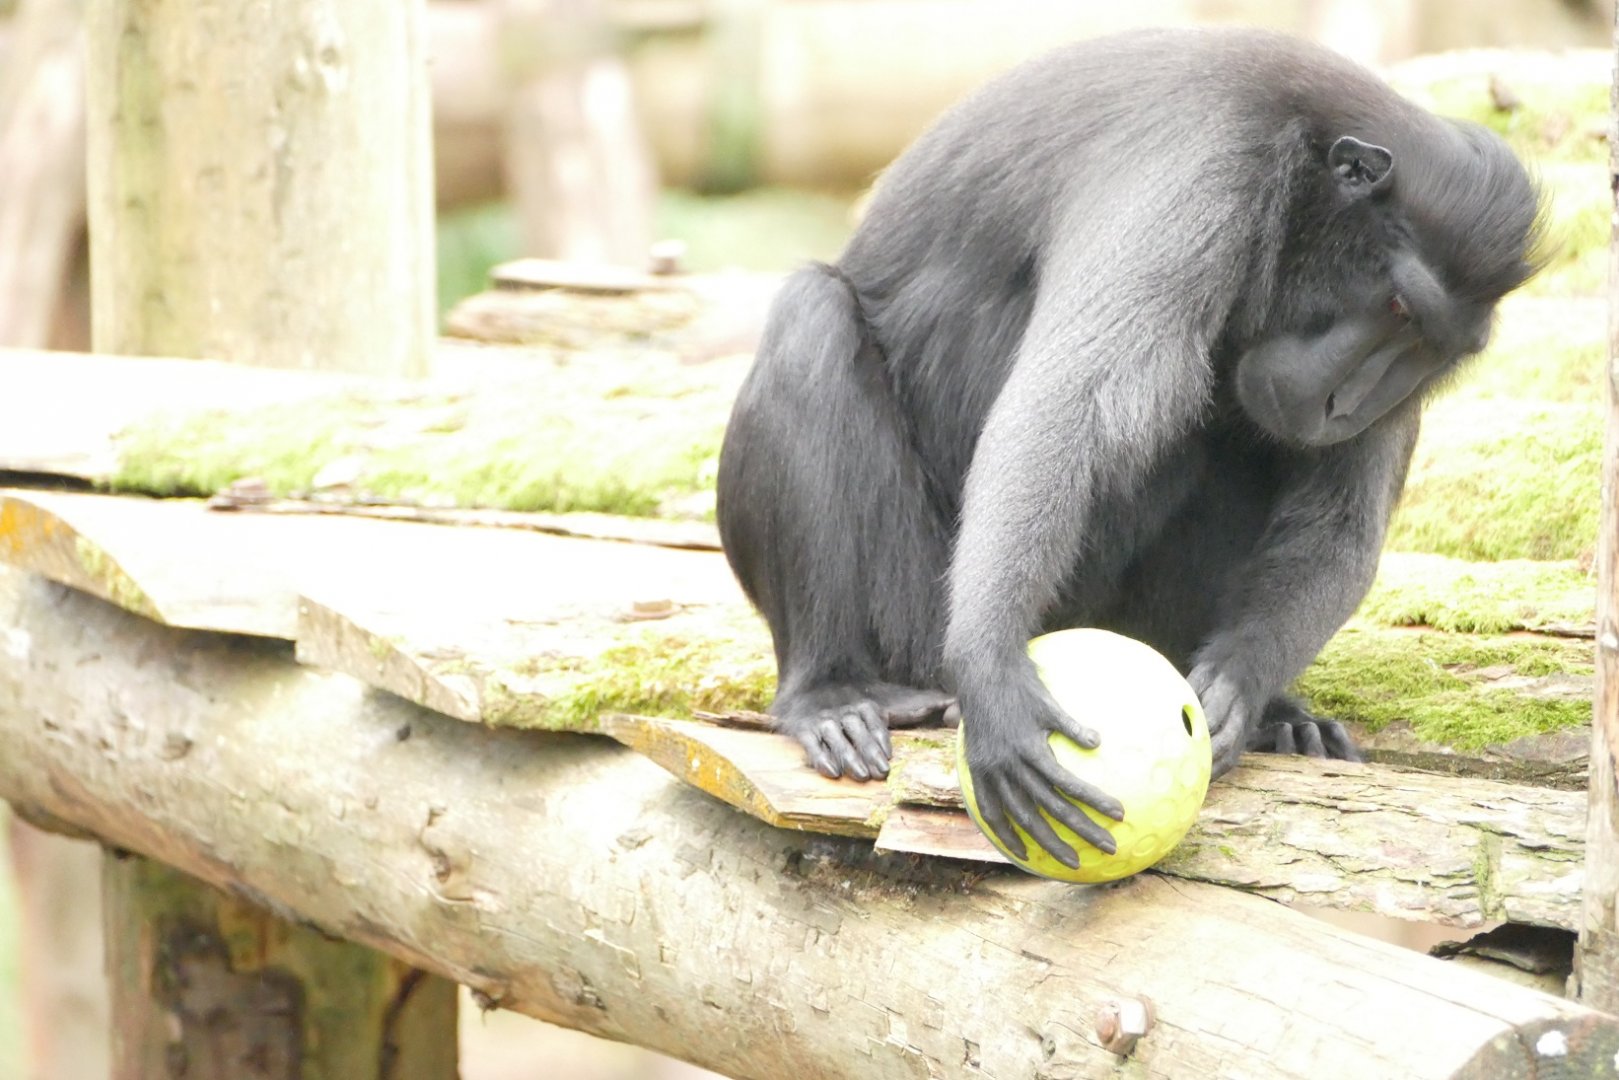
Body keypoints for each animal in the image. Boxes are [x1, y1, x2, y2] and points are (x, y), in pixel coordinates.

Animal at [714, 28, 1543, 867]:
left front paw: (1242, 684)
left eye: (1430, 349)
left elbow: (1340, 529)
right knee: (812, 319)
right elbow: (1069, 408)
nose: (1349, 402)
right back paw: (829, 690)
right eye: (1398, 306)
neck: (1296, 145)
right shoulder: (1200, 173)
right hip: (913, 612)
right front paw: (990, 668)